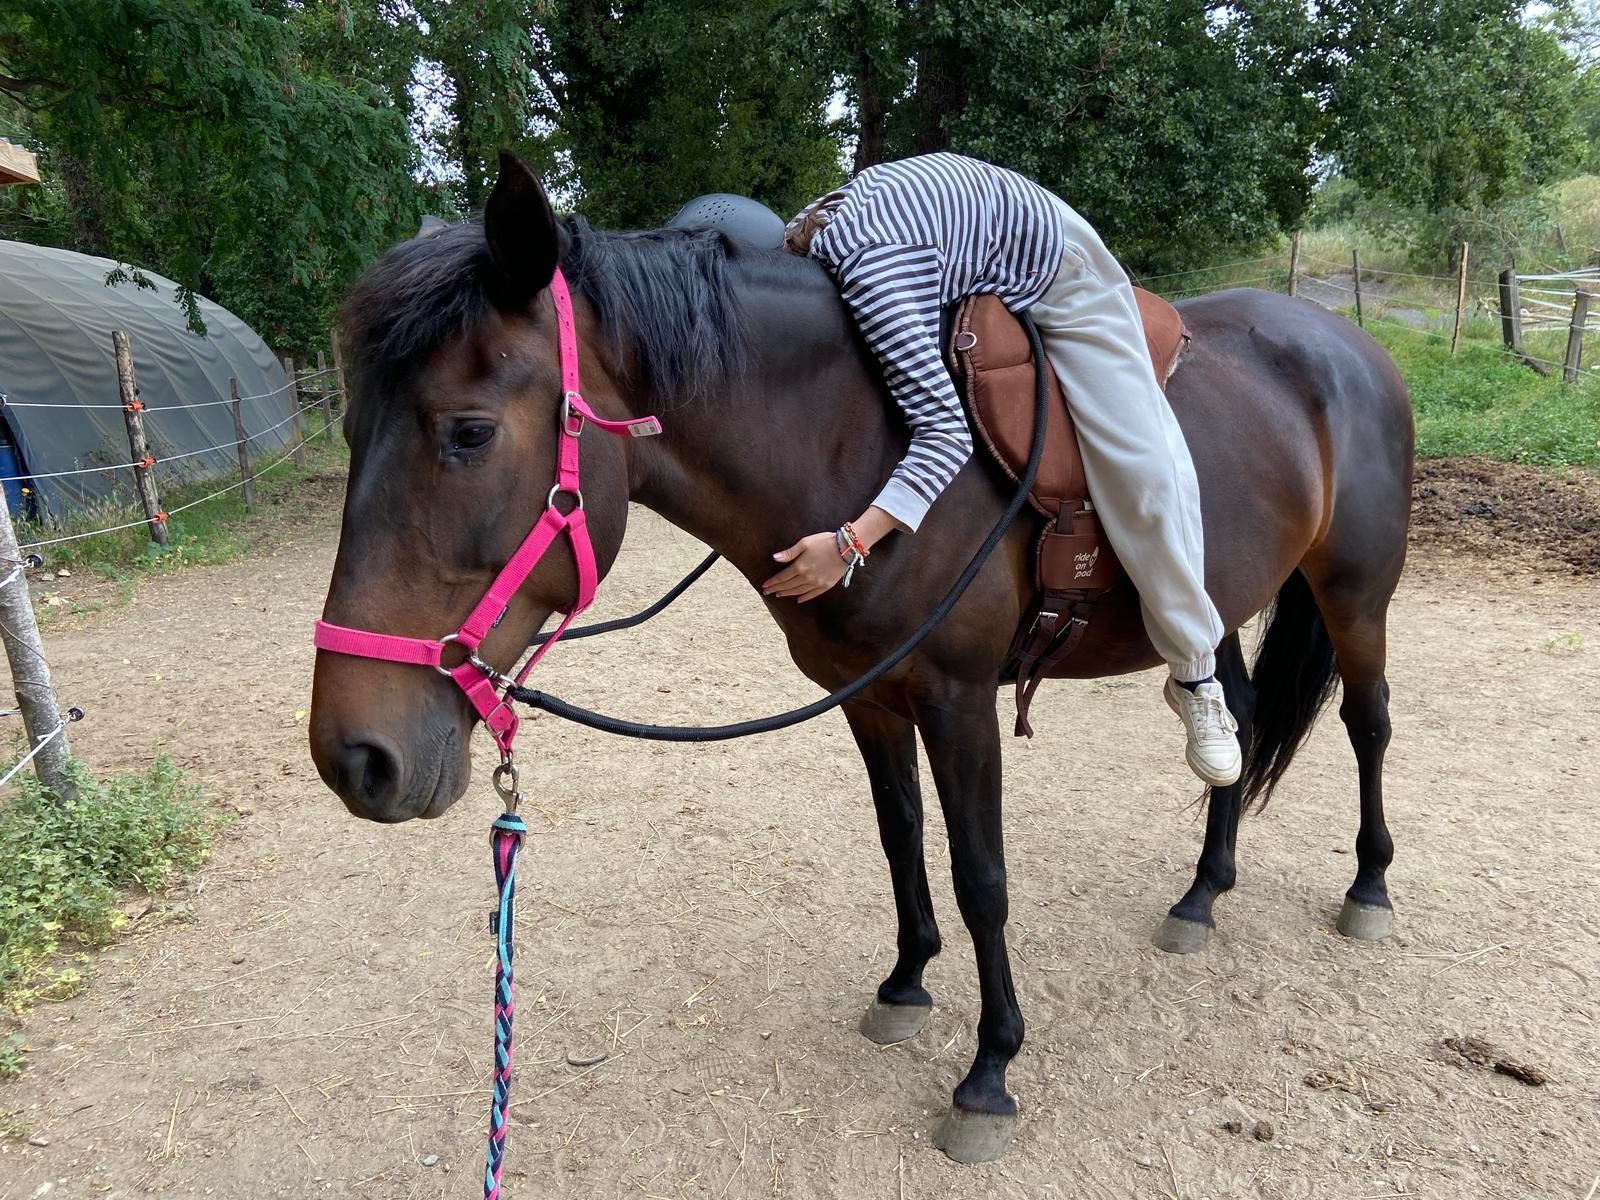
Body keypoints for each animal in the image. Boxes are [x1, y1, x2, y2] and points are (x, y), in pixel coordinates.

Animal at [309, 153, 1413, 1162]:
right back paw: (1201, 893)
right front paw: (906, 982)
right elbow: (899, 839)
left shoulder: (961, 700)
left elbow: (980, 876)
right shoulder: (870, 698)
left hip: (1354, 595)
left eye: (468, 431)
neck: (853, 437)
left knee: (1367, 723)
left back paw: (1368, 888)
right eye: (352, 428)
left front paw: (990, 1072)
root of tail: (1347, 342)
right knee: (1232, 717)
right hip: (1218, 607)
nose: (354, 757)